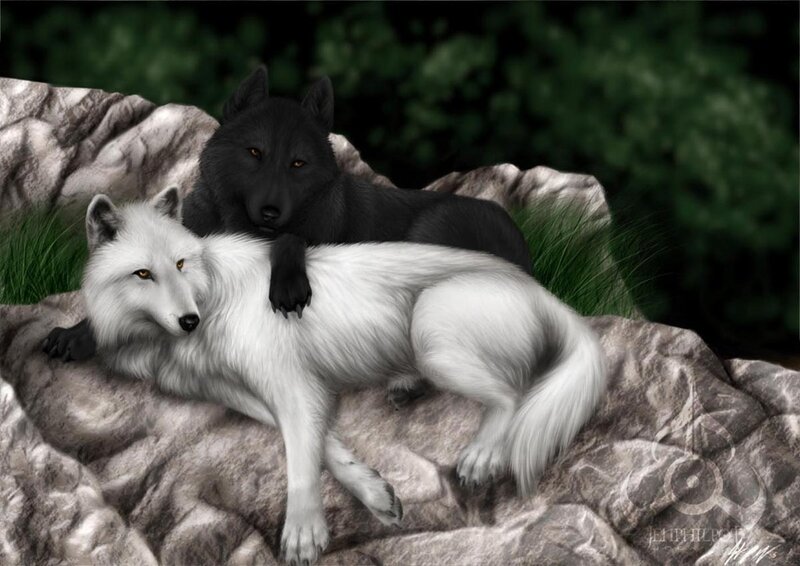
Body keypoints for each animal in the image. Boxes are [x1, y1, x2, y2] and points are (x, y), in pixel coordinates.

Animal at [45, 65, 531, 407]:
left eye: (298, 163)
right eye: (254, 153)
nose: (271, 212)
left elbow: (292, 240)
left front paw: (288, 284)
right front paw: (76, 333)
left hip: (429, 237)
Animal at [81, 187, 606, 564]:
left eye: (181, 264)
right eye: (143, 274)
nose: (189, 320)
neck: (211, 294)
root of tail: (542, 291)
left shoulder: (291, 385)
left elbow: (300, 458)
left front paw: (303, 533)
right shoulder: (246, 393)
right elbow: (324, 444)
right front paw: (374, 492)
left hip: (431, 328)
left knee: (513, 394)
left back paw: (480, 456)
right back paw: (405, 387)